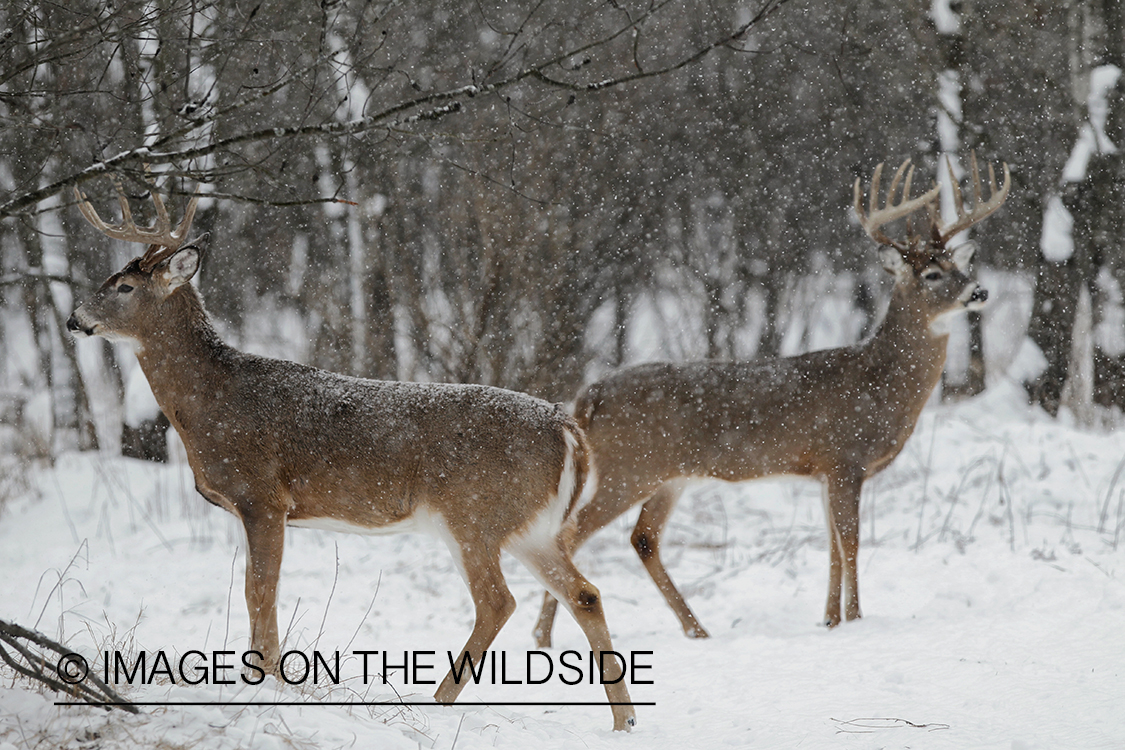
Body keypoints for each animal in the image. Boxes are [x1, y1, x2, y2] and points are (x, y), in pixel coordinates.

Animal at [65, 177, 639, 733]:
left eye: (124, 286)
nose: (74, 319)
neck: (211, 403)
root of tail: (566, 427)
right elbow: (259, 591)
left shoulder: (262, 496)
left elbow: (259, 591)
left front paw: (267, 684)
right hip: (528, 525)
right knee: (584, 592)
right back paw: (624, 719)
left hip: (472, 514)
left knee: (498, 600)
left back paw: (436, 705)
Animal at [533, 154, 1012, 647]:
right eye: (931, 274)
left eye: (958, 266)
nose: (978, 291)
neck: (878, 386)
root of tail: (588, 397)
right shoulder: (845, 458)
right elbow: (852, 541)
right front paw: (857, 619)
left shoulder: (823, 471)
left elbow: (832, 545)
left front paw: (830, 621)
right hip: (628, 467)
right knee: (569, 534)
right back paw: (543, 636)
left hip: (670, 475)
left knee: (643, 537)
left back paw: (696, 629)